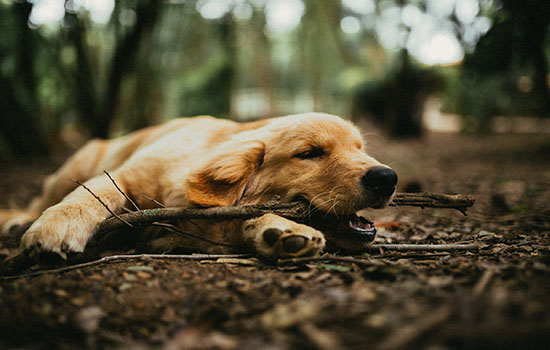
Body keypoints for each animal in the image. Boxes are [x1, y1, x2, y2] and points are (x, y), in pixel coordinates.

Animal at [0, 113, 396, 258]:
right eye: (310, 153)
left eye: (360, 149)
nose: (387, 178)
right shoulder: (125, 175)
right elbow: (91, 196)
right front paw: (58, 224)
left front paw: (278, 229)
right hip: (78, 162)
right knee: (40, 200)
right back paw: (20, 220)